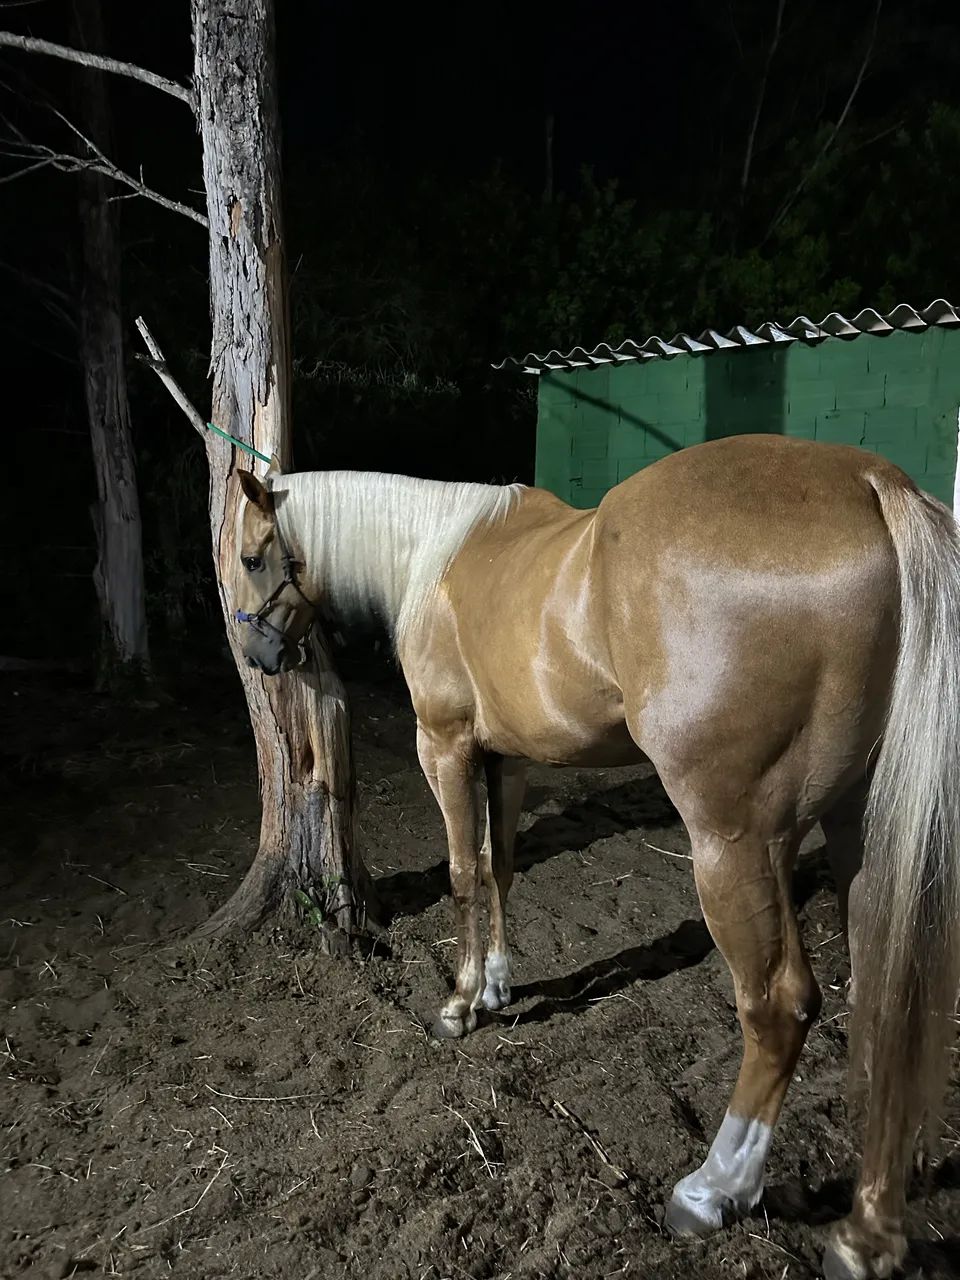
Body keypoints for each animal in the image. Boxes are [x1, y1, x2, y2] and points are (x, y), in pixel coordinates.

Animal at [233, 432, 960, 1280]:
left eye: (253, 557)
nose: (258, 654)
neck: (432, 558)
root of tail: (870, 484)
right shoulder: (507, 758)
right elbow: (499, 868)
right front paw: (496, 986)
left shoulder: (444, 747)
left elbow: (462, 873)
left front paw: (458, 1004)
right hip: (864, 836)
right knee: (888, 1004)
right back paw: (869, 1231)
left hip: (735, 844)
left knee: (780, 1005)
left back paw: (715, 1188)